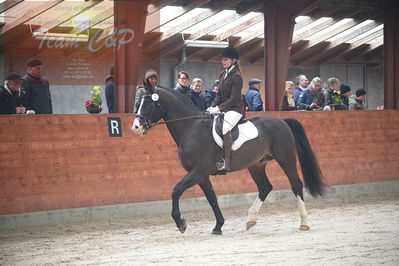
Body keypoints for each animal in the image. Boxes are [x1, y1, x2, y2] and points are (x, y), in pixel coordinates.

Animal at [131, 86, 324, 234]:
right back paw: (250, 220)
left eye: (148, 103)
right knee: (265, 187)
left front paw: (181, 223)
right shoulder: (201, 175)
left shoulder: (198, 171)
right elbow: (212, 198)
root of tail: (282, 121)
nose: (136, 127)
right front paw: (218, 226)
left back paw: (304, 223)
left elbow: (175, 190)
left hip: (286, 159)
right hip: (256, 165)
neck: (191, 128)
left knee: (296, 185)